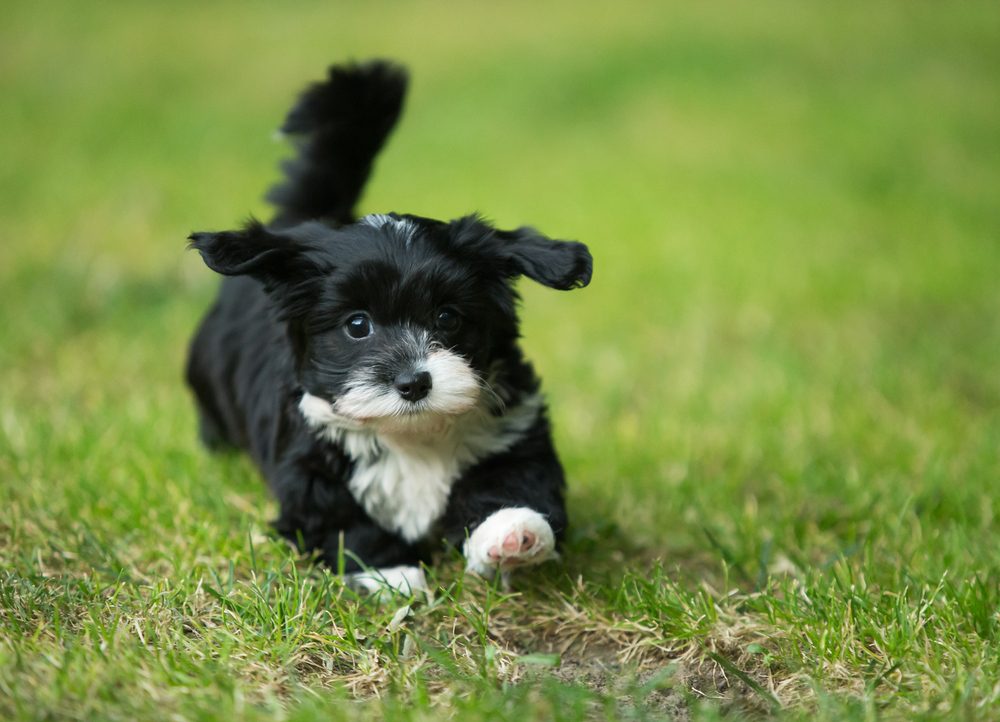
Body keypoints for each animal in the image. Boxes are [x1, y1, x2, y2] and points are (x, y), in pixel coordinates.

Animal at [186, 60, 592, 592]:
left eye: (447, 317)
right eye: (357, 325)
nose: (414, 382)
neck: (412, 435)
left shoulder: (513, 428)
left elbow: (515, 481)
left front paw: (513, 533)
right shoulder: (309, 464)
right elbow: (340, 522)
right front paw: (391, 570)